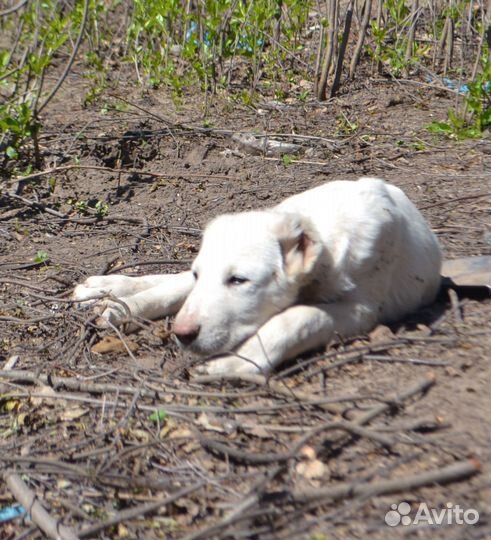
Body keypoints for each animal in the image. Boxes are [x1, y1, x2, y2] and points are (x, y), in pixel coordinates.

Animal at [72, 179, 442, 374]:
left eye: (239, 281)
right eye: (201, 274)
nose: (183, 334)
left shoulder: (363, 310)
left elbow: (300, 316)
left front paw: (234, 363)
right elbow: (177, 287)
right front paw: (119, 301)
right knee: (172, 282)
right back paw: (111, 293)